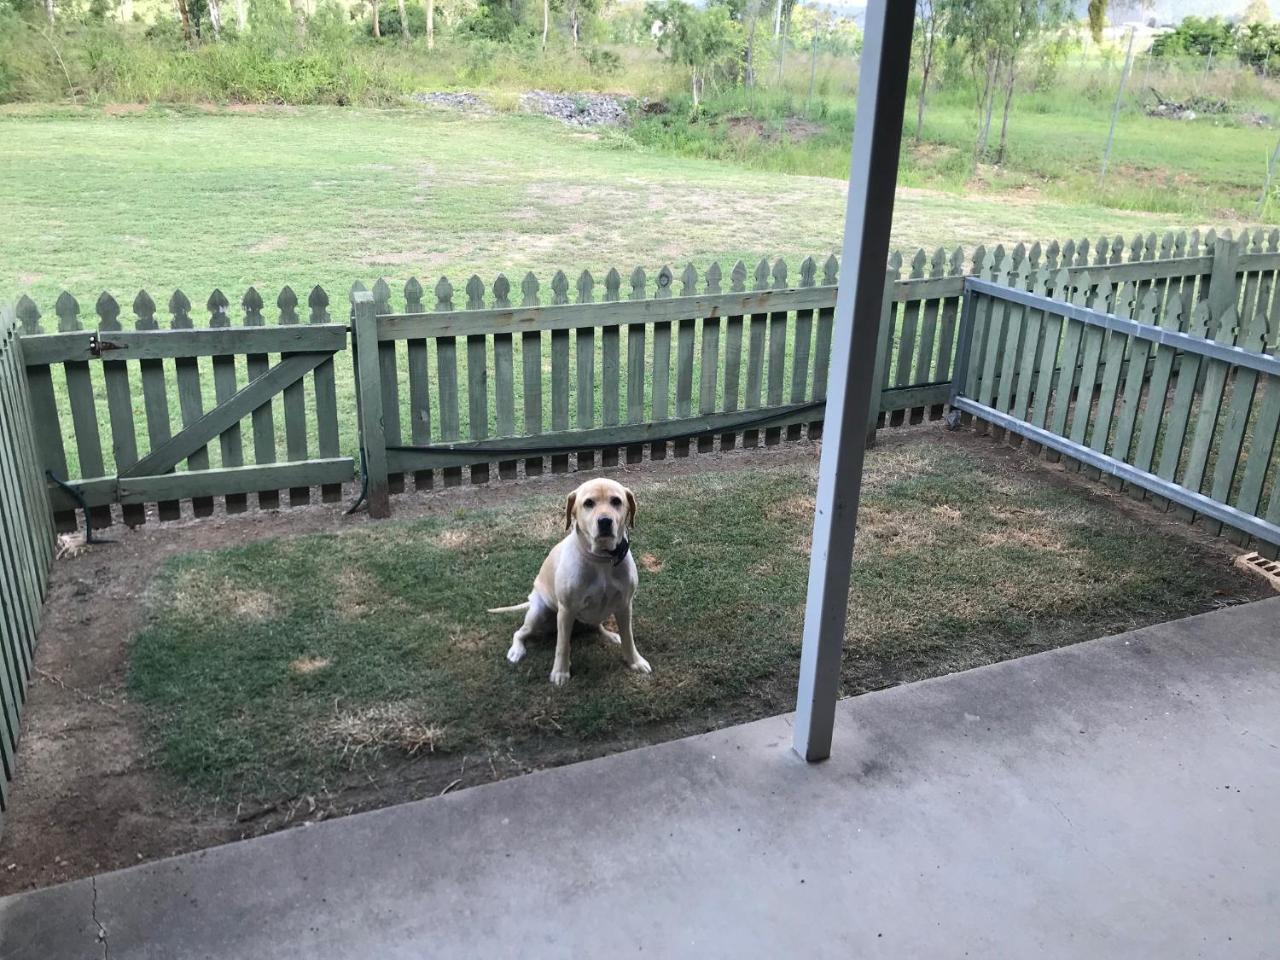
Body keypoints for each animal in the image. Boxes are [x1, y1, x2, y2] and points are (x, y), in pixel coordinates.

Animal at [486, 478, 650, 686]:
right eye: (588, 503)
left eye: (616, 501)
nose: (605, 521)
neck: (601, 559)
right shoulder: (566, 611)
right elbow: (562, 645)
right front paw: (560, 672)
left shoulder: (624, 605)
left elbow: (629, 637)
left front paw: (635, 661)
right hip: (538, 613)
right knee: (520, 633)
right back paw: (516, 650)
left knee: (597, 626)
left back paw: (611, 635)